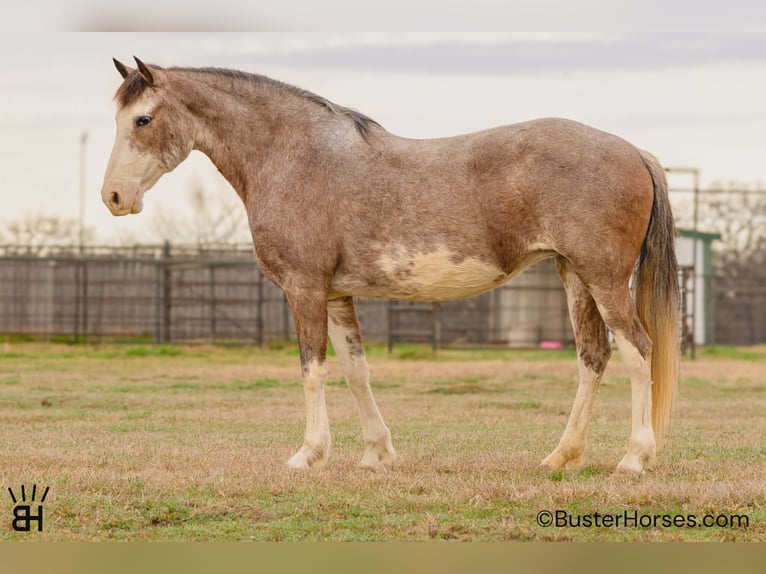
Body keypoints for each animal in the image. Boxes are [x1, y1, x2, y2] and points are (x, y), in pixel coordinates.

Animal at [101, 57, 680, 474]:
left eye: (143, 119)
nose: (113, 197)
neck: (293, 156)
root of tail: (634, 151)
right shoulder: (337, 294)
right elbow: (356, 370)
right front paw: (376, 454)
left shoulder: (304, 288)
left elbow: (313, 369)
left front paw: (308, 455)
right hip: (573, 275)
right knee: (592, 357)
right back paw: (561, 457)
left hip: (604, 280)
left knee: (637, 350)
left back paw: (634, 459)